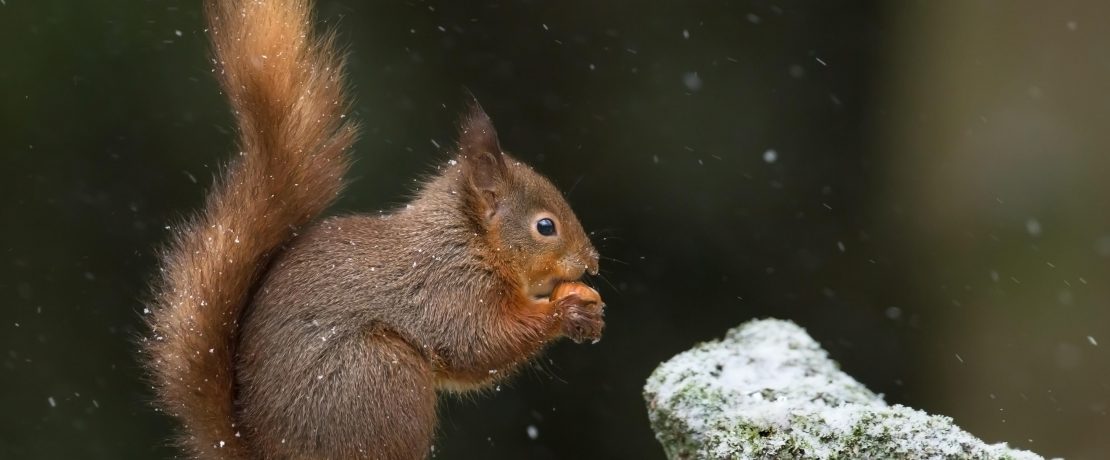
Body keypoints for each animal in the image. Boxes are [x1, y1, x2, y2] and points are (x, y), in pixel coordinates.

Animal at [145, 0, 608, 460]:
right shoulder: (448, 287)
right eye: (545, 226)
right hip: (380, 377)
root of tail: (261, 450)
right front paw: (565, 311)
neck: (470, 240)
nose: (593, 263)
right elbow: (478, 344)